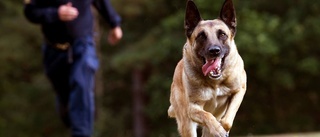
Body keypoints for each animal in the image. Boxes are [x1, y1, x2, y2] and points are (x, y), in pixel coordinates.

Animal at [169, 0, 246, 136]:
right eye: (201, 36)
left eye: (222, 34)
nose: (214, 51)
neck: (215, 83)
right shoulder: (193, 108)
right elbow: (207, 115)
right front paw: (218, 129)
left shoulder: (239, 90)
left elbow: (226, 121)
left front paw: (222, 128)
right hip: (187, 125)